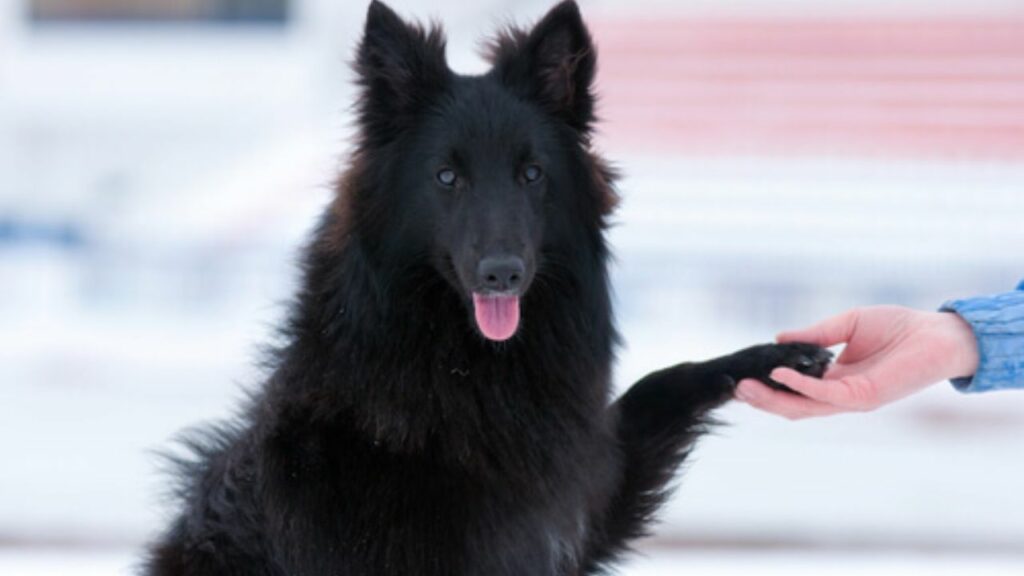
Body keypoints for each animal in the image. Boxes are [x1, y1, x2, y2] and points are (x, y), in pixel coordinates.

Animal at [144, 2, 831, 569]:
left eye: (532, 173)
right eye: (447, 177)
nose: (502, 273)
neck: (465, 373)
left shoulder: (574, 506)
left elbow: (663, 381)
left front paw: (776, 360)